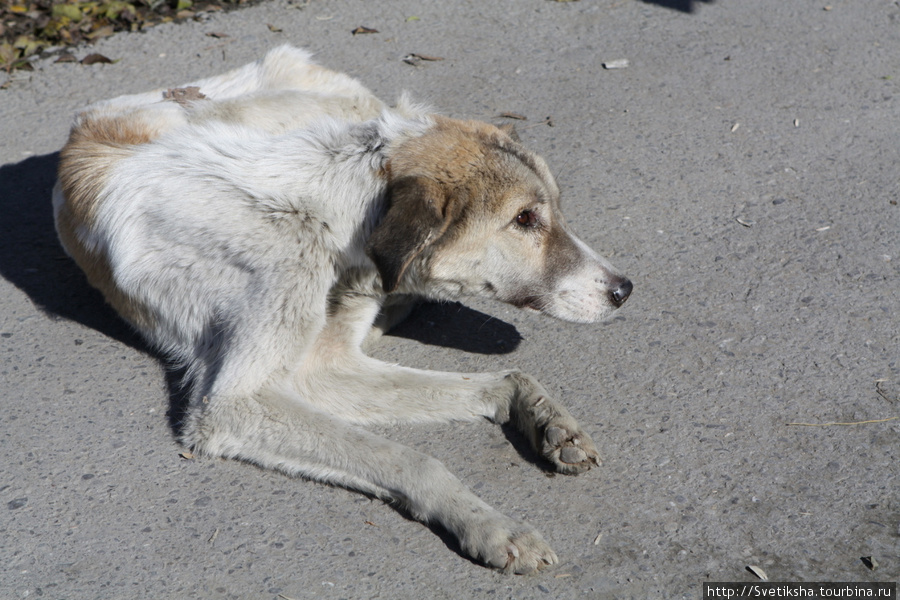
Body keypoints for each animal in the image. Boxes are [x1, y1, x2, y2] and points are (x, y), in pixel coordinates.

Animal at [52, 45, 632, 572]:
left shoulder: (324, 367)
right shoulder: (237, 404)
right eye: (525, 219)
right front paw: (490, 525)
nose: (625, 290)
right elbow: (413, 457)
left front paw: (546, 420)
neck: (327, 208)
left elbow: (504, 377)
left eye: (553, 213)